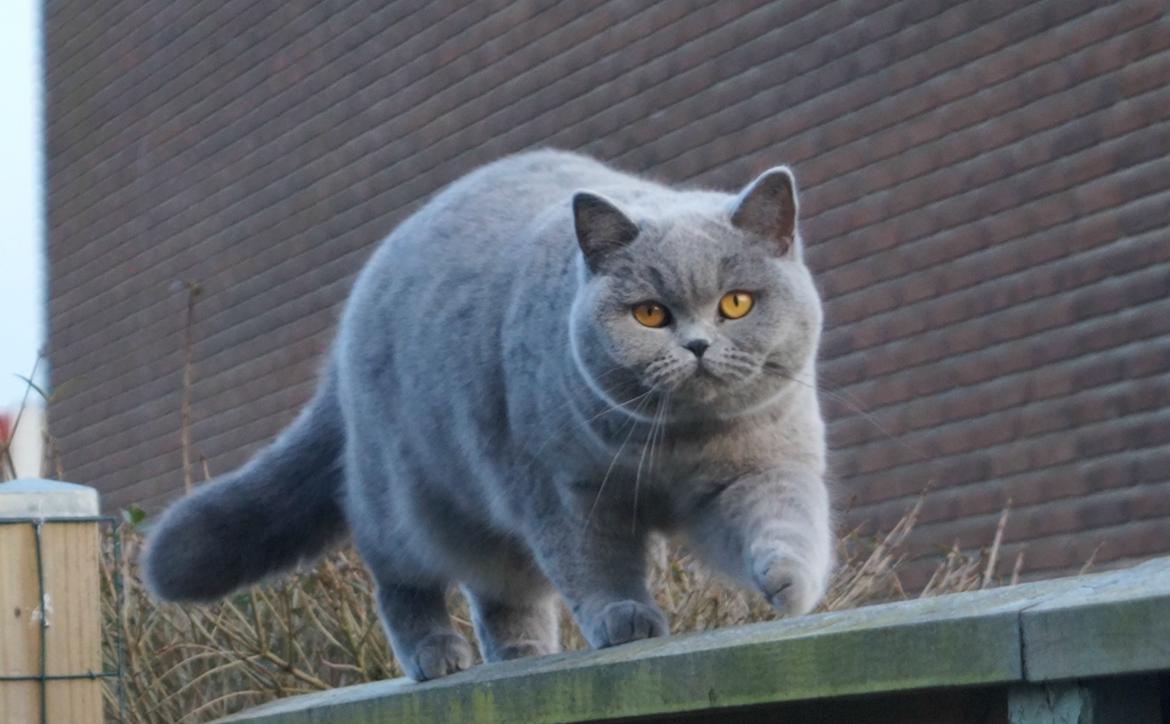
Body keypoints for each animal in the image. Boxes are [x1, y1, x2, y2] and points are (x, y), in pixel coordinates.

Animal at [146, 149, 833, 683]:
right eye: (649, 314)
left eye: (736, 303)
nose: (696, 345)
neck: (672, 445)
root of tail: (342, 344)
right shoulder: (566, 492)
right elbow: (595, 564)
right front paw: (625, 619)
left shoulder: (760, 466)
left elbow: (784, 517)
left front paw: (791, 583)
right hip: (406, 501)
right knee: (403, 580)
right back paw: (437, 654)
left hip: (481, 522)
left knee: (502, 589)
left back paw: (522, 651)